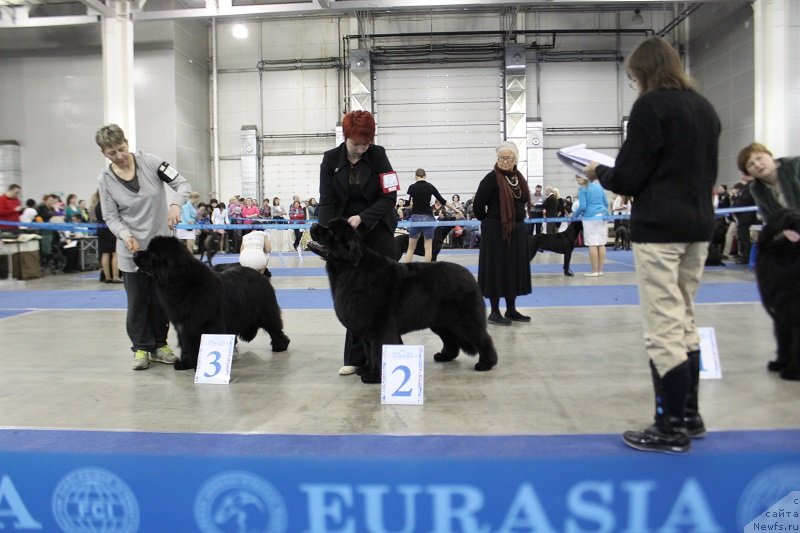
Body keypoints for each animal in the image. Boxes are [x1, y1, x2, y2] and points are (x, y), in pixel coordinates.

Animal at [133, 237, 290, 370]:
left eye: (152, 253)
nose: (134, 253)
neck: (182, 282)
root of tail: (260, 274)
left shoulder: (210, 323)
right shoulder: (185, 324)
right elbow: (187, 344)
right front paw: (186, 363)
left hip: (266, 312)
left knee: (275, 328)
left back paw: (280, 345)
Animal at [310, 218, 496, 384]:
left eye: (331, 231)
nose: (313, 225)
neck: (350, 269)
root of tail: (469, 276)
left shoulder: (380, 329)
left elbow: (377, 352)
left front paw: (375, 377)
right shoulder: (367, 330)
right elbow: (369, 352)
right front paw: (366, 370)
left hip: (464, 320)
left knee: (482, 338)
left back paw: (486, 363)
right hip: (441, 322)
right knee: (450, 340)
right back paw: (445, 356)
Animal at [756, 207, 800, 378]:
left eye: (798, 214)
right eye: (781, 214)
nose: (794, 216)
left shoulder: (795, 319)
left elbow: (795, 347)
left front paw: (792, 372)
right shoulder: (780, 320)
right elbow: (783, 344)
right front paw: (779, 364)